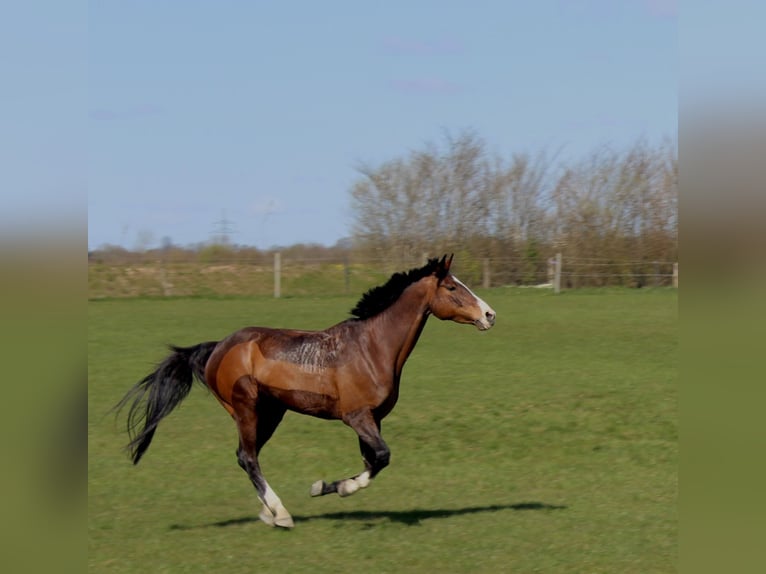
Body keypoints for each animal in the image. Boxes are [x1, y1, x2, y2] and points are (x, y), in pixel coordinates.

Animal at [114, 256, 498, 532]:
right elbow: (382, 457)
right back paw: (281, 514)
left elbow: (372, 462)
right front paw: (333, 488)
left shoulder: (372, 419)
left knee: (246, 457)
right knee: (247, 457)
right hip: (247, 409)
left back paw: (268, 513)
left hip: (271, 413)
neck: (372, 348)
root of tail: (216, 348)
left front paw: (328, 487)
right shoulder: (357, 417)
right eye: (452, 286)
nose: (490, 314)